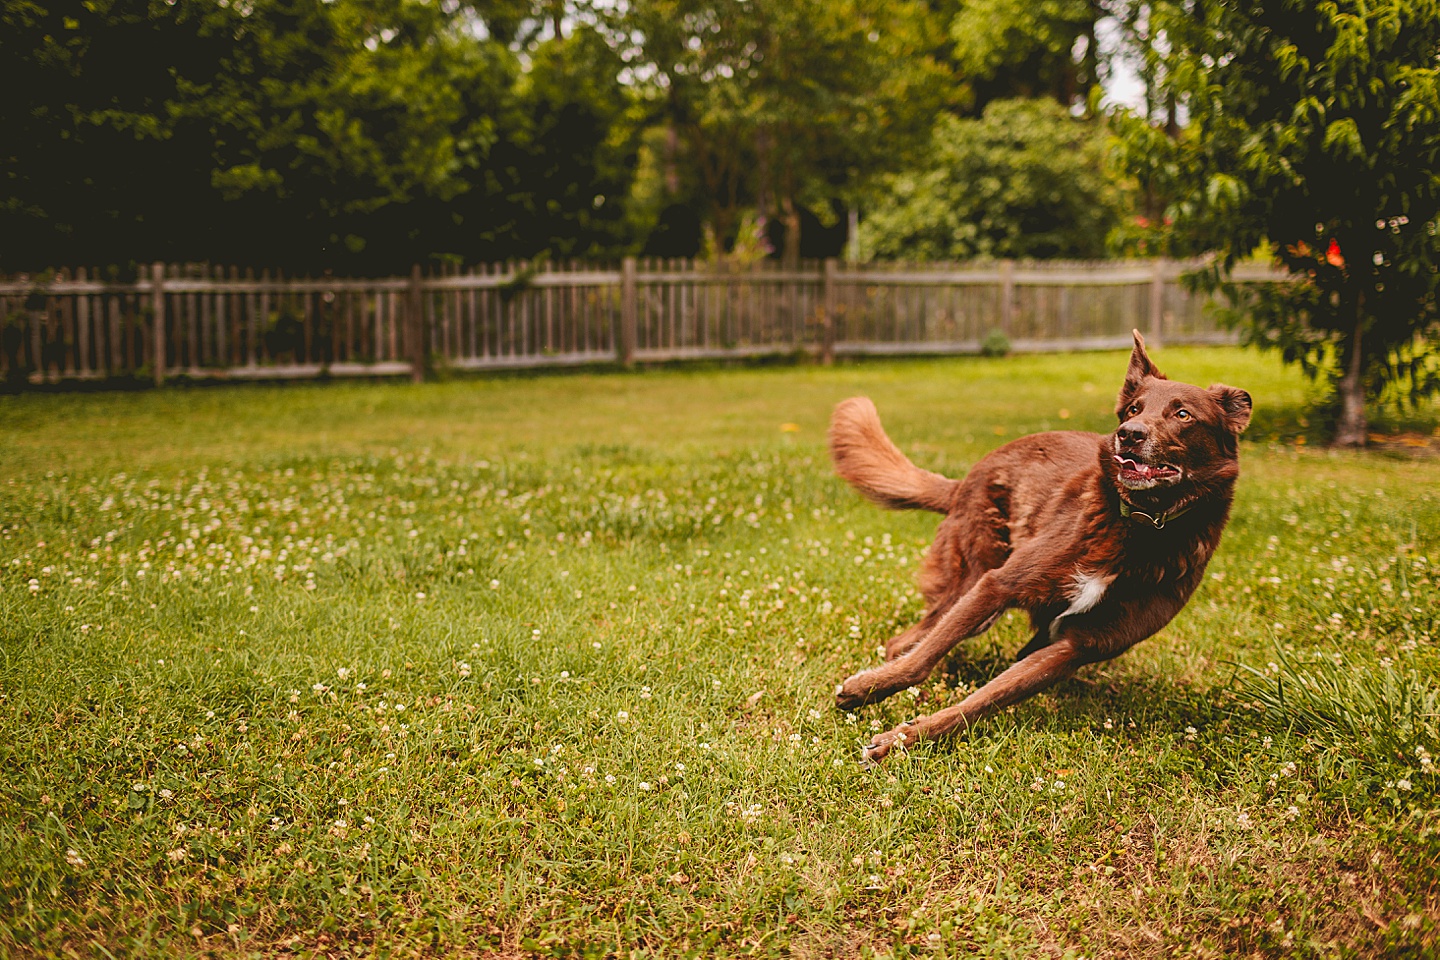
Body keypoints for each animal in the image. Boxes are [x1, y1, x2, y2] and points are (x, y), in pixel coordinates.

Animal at [835, 333, 1249, 759]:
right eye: (1134, 408)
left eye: (1183, 415)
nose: (1129, 433)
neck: (1140, 526)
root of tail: (966, 479)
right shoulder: (997, 585)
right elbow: (923, 659)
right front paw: (868, 691)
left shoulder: (1075, 647)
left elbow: (982, 701)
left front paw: (906, 739)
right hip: (971, 581)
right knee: (907, 642)